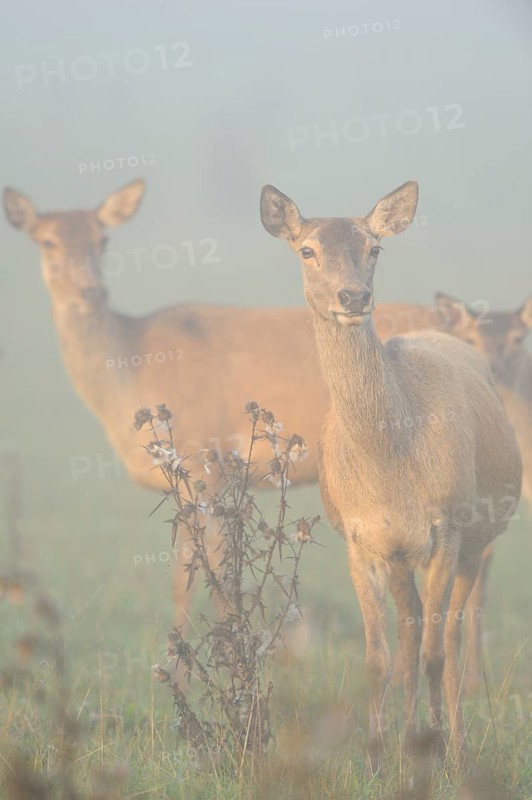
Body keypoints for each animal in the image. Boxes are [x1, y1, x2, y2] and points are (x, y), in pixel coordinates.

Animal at [260, 180, 522, 772]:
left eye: (375, 247)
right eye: (306, 249)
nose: (353, 297)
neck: (391, 474)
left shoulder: (446, 526)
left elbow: (433, 652)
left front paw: (442, 751)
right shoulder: (361, 538)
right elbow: (378, 657)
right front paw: (378, 758)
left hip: (474, 540)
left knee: (447, 634)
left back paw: (455, 740)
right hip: (403, 558)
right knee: (411, 629)